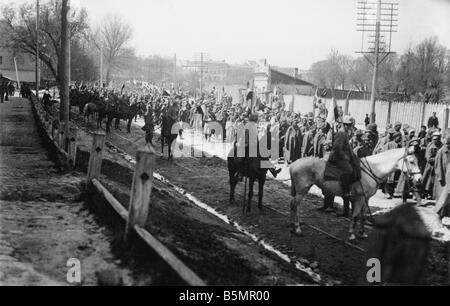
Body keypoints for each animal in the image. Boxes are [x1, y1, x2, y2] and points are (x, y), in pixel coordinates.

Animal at [290, 147, 424, 240]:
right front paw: (352, 235)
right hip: (302, 190)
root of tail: (293, 164)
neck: (373, 169)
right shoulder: (359, 198)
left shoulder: (366, 198)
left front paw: (362, 233)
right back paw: (297, 228)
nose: (419, 179)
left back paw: (292, 226)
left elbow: (362, 216)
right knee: (296, 205)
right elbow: (354, 215)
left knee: (292, 204)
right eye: (412, 161)